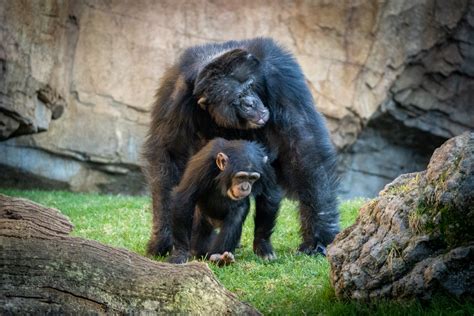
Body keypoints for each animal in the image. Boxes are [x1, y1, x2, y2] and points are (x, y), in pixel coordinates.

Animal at [143, 37, 338, 260]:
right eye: (238, 96)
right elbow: (170, 153)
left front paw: (319, 237)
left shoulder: (281, 76)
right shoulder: (175, 93)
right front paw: (164, 239)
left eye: (250, 86)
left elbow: (303, 142)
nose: (250, 102)